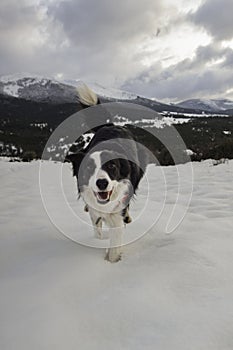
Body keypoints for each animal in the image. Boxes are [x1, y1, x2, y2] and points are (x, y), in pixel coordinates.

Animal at [68, 83, 147, 262]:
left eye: (112, 167)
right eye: (89, 167)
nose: (102, 183)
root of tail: (111, 125)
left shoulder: (117, 213)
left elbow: (115, 243)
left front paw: (112, 262)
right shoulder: (95, 211)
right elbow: (96, 229)